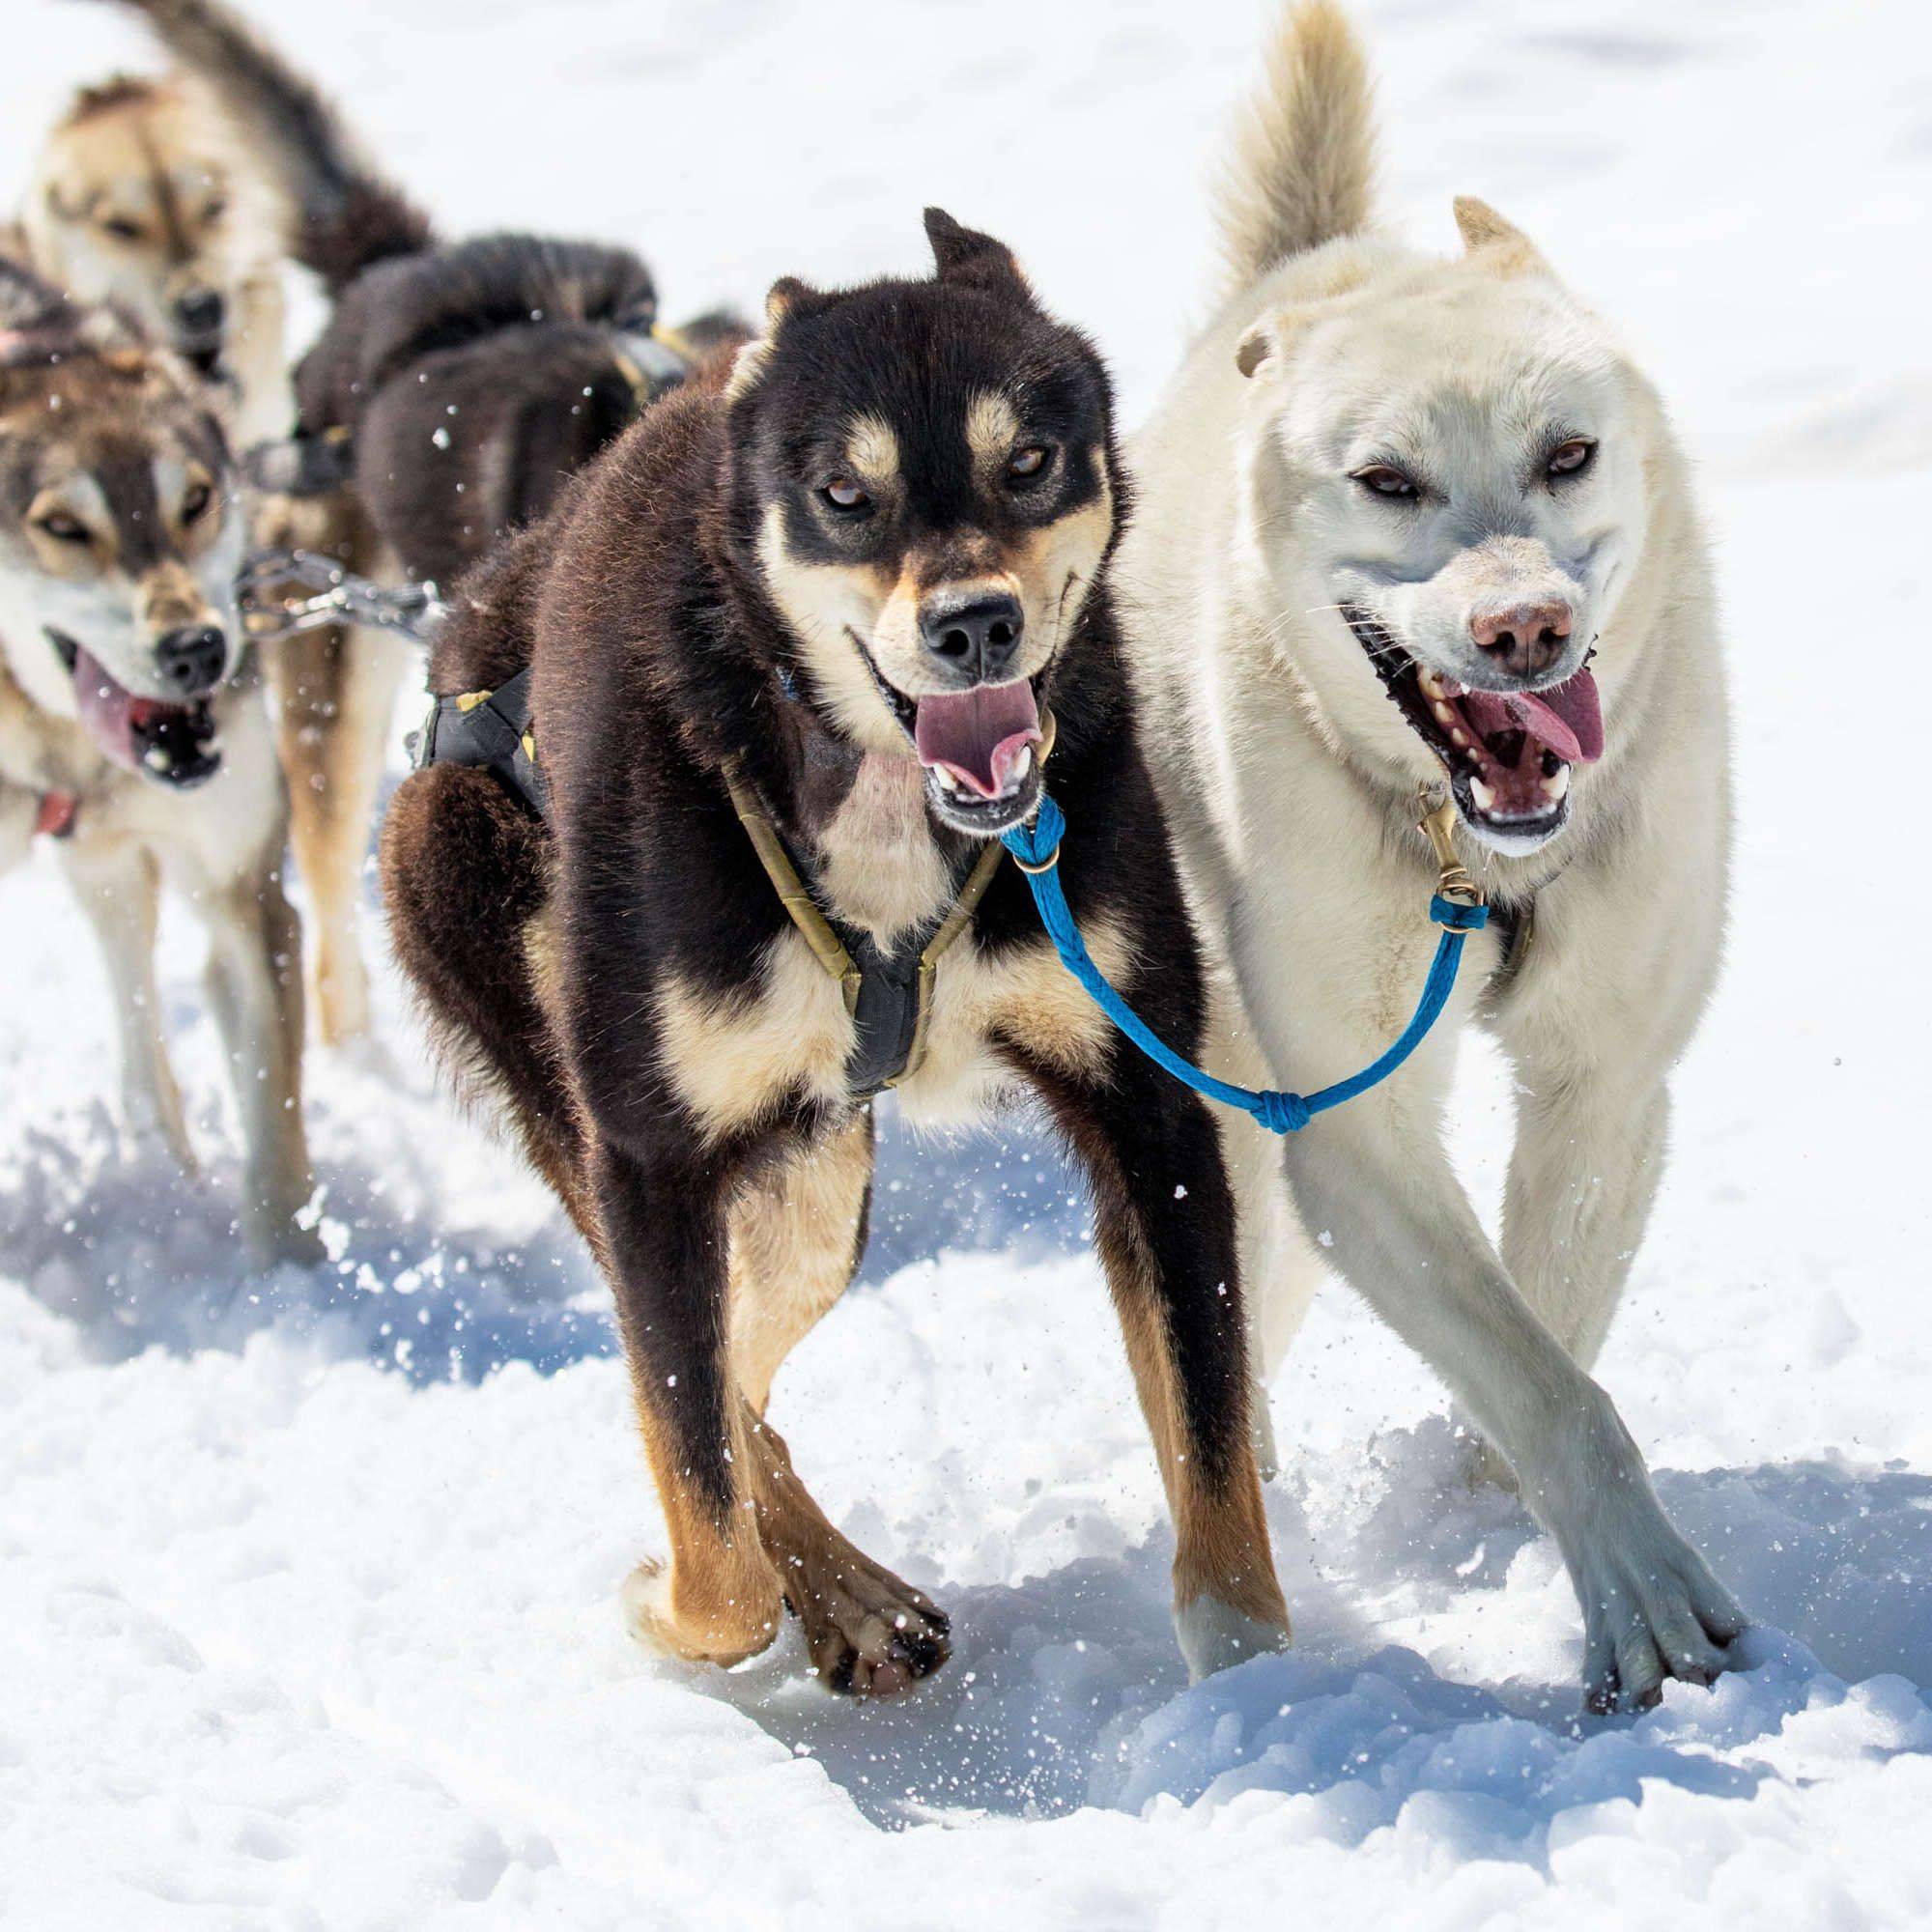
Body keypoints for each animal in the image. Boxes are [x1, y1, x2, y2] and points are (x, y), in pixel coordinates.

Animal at [0, 269, 313, 1267]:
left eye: (197, 500)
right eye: (62, 526)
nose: (196, 650)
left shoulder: (244, 893)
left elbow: (275, 1134)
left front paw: (295, 1281)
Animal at [379, 212, 1291, 1692]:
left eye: (1027, 460)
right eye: (845, 495)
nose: (974, 623)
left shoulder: (1150, 1106)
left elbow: (1212, 1456)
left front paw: (1258, 1682)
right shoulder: (649, 1157)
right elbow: (711, 1530)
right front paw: (683, 1600)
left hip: (814, 1193)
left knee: (746, 1351)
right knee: (704, 1392)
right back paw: (842, 1592)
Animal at [1121, 3, 1754, 1723]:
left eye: (1569, 452)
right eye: (1390, 481)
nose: (1523, 625)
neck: (1477, 864)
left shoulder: (1607, 1086)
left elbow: (1547, 1348)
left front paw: (1490, 1526)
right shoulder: (1351, 1132)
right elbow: (1548, 1384)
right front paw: (1640, 1594)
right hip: (1235, 1116)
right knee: (1228, 1320)